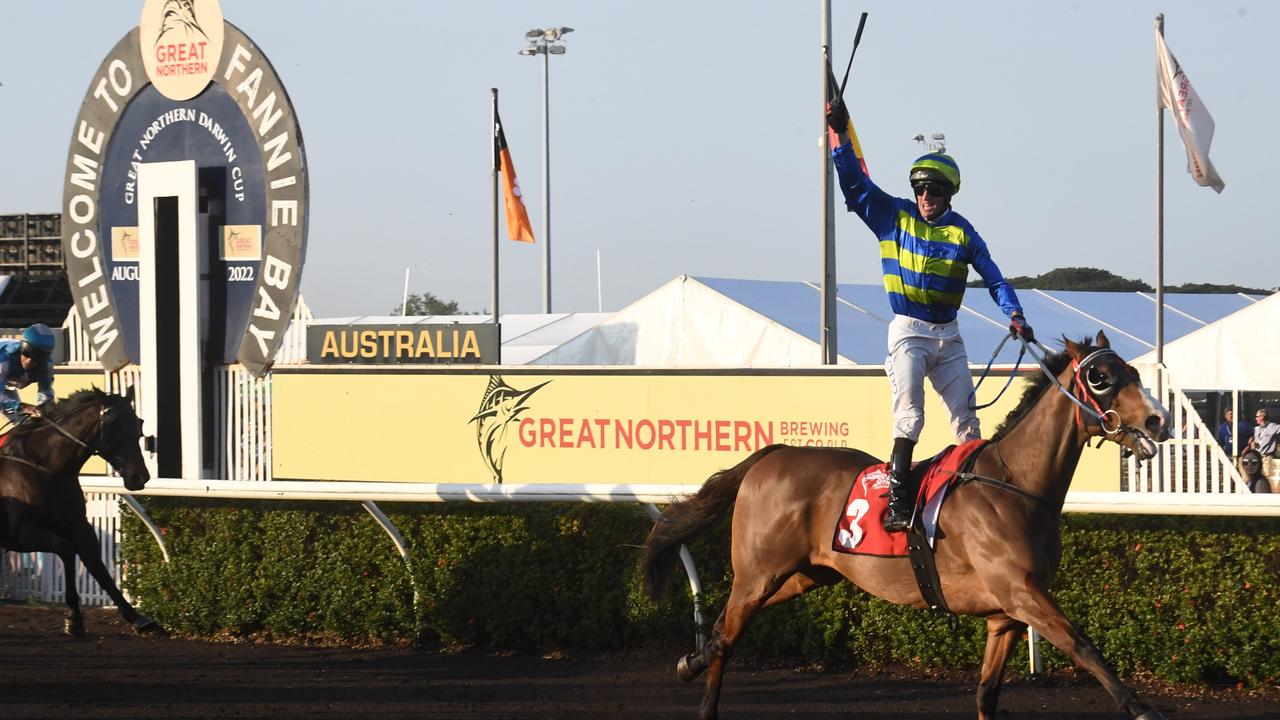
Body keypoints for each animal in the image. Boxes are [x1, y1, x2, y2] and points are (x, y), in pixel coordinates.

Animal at [0, 386, 157, 632]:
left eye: (138, 423)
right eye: (112, 426)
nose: (139, 477)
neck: (49, 469)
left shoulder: (79, 526)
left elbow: (98, 567)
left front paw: (137, 617)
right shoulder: (19, 535)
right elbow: (66, 549)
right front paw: (73, 617)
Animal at [645, 333, 1172, 717]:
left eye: (1134, 372)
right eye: (1100, 377)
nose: (1159, 420)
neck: (1014, 484)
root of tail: (772, 455)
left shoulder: (1005, 613)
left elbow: (987, 693)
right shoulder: (1022, 594)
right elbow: (1085, 646)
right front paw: (1142, 708)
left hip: (806, 574)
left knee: (722, 630)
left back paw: (690, 661)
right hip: (759, 572)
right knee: (727, 637)